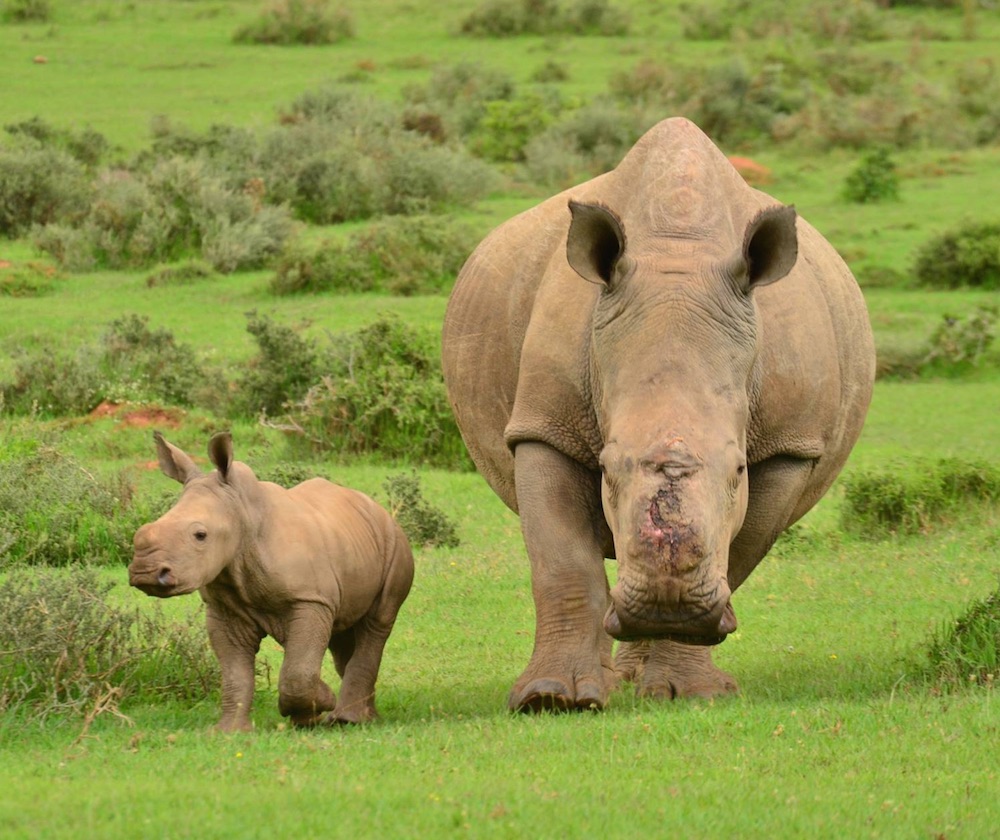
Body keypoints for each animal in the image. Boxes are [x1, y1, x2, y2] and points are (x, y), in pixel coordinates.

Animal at [129, 434, 414, 728]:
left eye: (200, 535)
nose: (144, 573)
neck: (243, 516)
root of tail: (378, 509)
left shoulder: (310, 598)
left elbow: (297, 672)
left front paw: (317, 705)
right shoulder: (225, 609)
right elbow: (235, 674)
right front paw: (231, 731)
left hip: (394, 542)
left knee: (376, 622)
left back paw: (348, 719)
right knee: (340, 632)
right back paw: (360, 716)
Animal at [446, 116, 876, 708]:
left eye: (739, 470)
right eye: (606, 468)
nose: (665, 605)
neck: (680, 253)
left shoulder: (790, 443)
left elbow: (740, 550)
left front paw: (690, 691)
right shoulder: (543, 424)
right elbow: (561, 559)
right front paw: (552, 698)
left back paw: (641, 679)